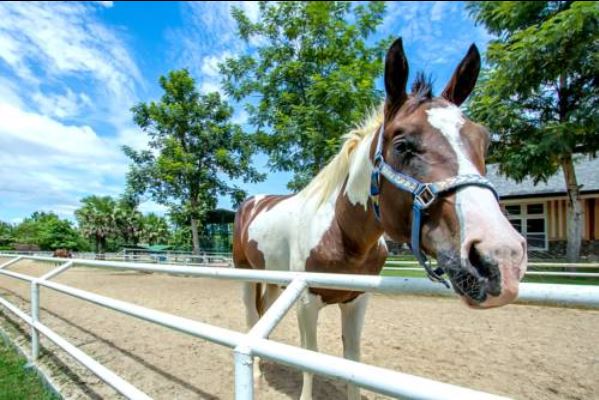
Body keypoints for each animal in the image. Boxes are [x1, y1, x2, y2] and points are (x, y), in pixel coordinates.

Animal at [232, 38, 528, 400]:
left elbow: (353, 361)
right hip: (246, 275)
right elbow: (309, 360)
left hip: (273, 280)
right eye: (403, 145)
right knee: (251, 316)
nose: (501, 257)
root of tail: (251, 203)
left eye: (484, 141)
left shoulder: (356, 301)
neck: (342, 233)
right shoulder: (306, 301)